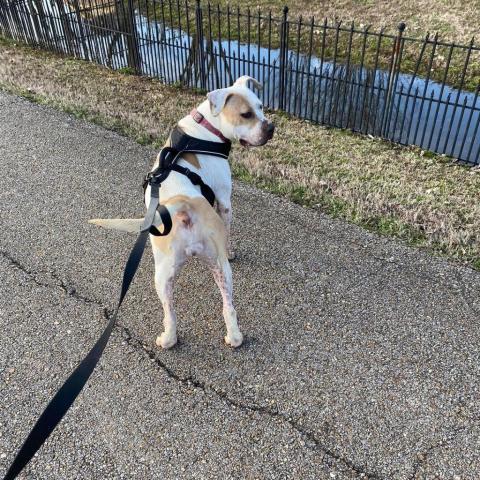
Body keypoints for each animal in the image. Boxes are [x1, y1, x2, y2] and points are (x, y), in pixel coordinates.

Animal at [89, 78, 274, 348]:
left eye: (261, 106)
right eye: (246, 114)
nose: (271, 128)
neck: (206, 126)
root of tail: (183, 206)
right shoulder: (224, 200)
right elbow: (229, 229)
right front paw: (232, 251)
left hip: (173, 273)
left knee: (187, 309)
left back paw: (186, 337)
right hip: (209, 264)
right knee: (211, 306)